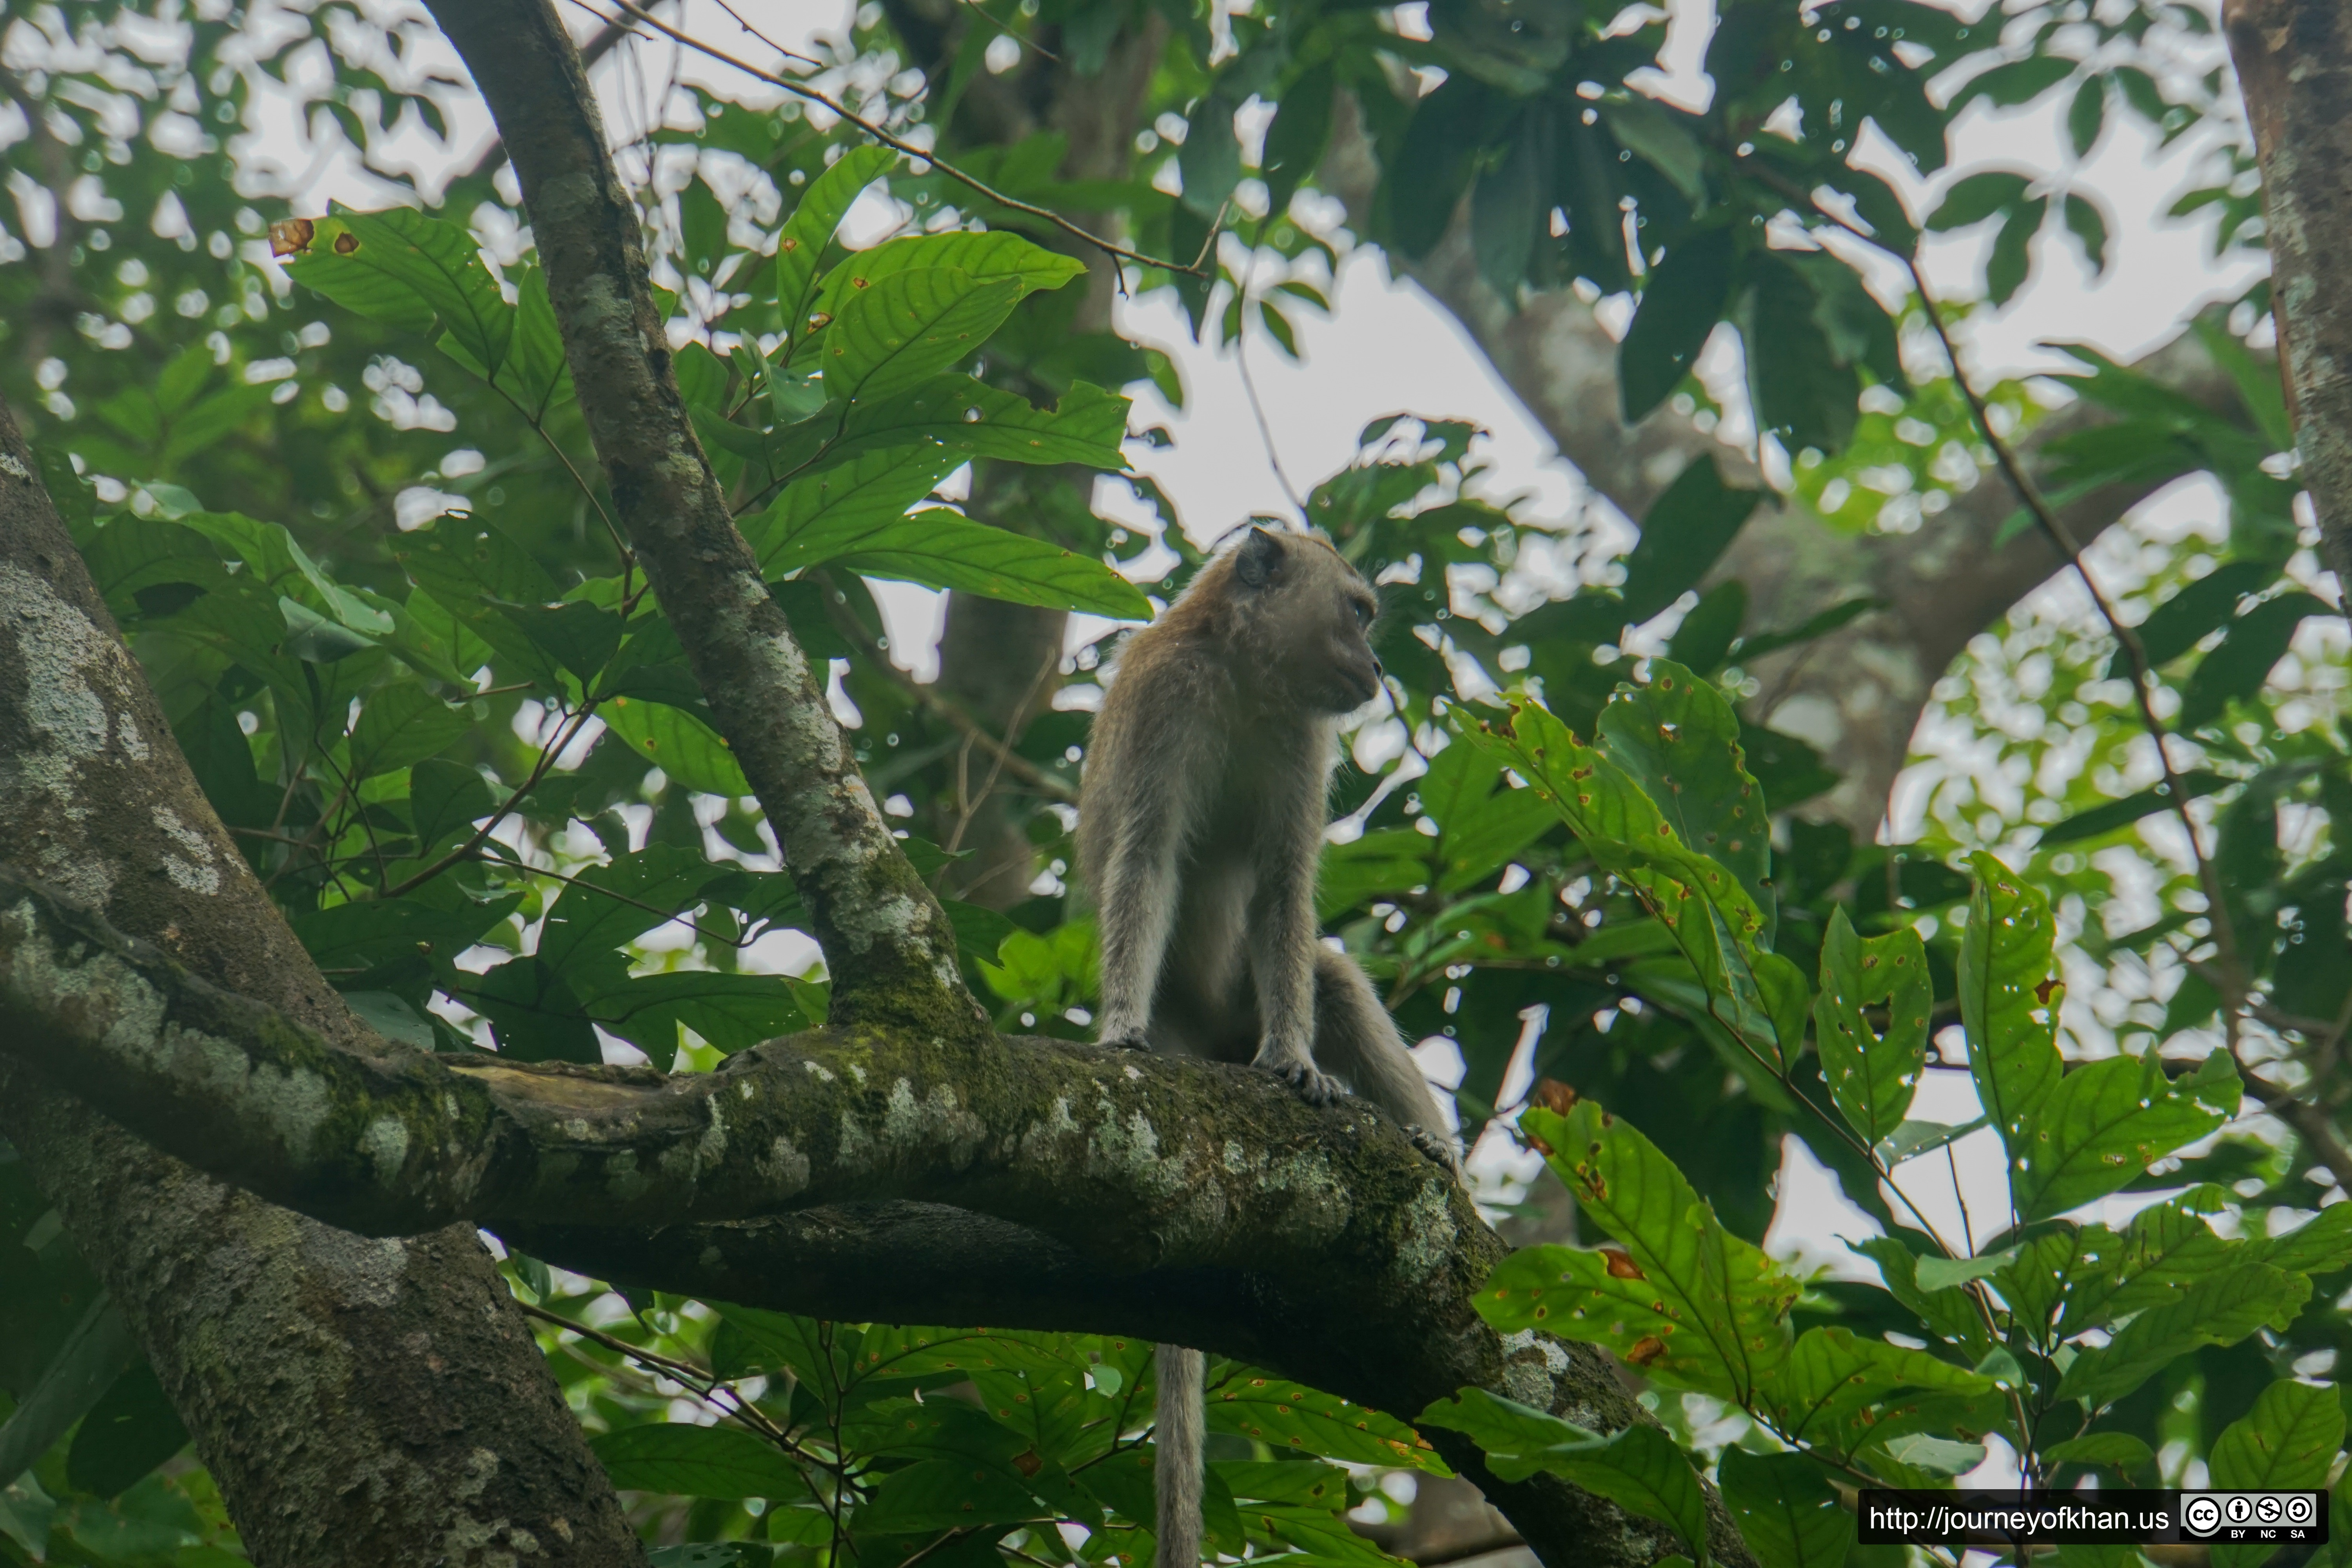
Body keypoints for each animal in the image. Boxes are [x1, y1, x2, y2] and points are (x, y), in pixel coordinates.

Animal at [1077, 524, 1449, 1568]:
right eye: (1358, 611)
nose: (1376, 665)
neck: (1247, 680)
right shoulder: (1164, 702)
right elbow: (1145, 857)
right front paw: (1117, 1025)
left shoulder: (1304, 740)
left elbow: (1287, 888)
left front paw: (1294, 1060)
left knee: (1329, 976)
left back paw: (1431, 1148)